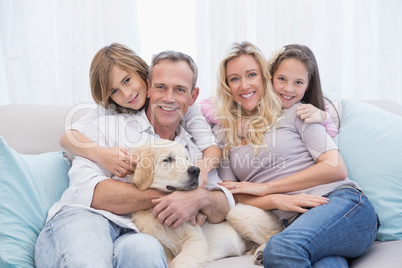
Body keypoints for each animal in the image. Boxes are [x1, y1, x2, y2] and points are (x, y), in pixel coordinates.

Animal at [130, 139, 282, 266]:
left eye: (186, 158)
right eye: (167, 159)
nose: (196, 170)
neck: (153, 210)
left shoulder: (195, 241)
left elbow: (178, 262)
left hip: (236, 213)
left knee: (274, 234)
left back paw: (261, 253)